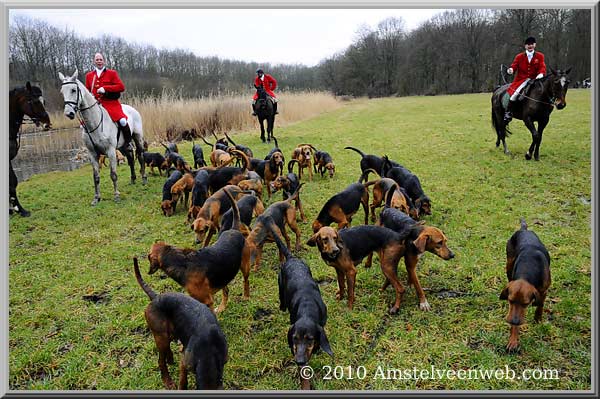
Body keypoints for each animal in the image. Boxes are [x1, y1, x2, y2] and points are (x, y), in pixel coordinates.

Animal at [9, 82, 51, 217]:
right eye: (35, 101)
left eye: (44, 101)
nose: (47, 124)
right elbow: (11, 184)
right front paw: (19, 209)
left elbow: (13, 182)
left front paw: (15, 209)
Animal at [58, 69, 147, 206]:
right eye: (62, 92)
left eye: (73, 90)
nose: (69, 113)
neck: (94, 122)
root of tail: (132, 109)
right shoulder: (92, 153)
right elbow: (96, 177)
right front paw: (96, 198)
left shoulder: (110, 151)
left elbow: (113, 174)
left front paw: (116, 196)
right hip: (122, 146)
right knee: (131, 158)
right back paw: (133, 179)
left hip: (138, 138)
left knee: (141, 155)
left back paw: (143, 178)